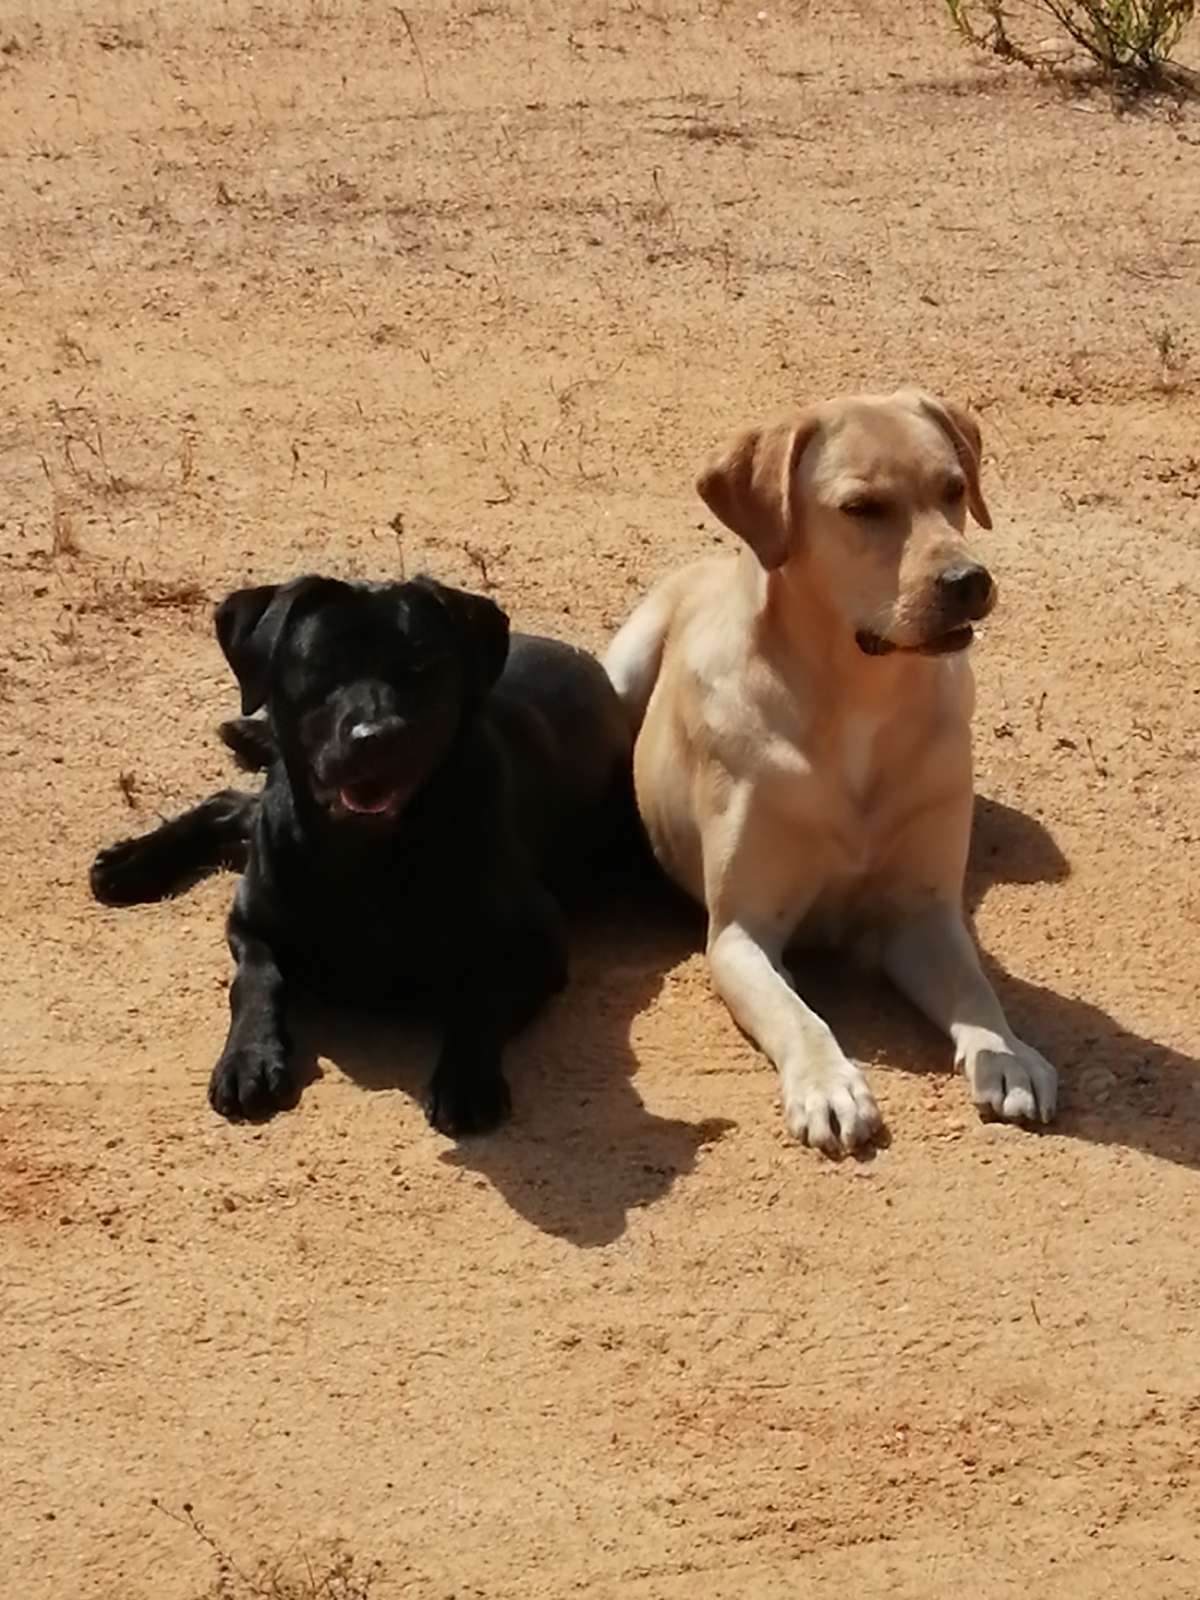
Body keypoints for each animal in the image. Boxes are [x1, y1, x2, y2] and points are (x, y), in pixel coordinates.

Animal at [90, 576, 633, 1139]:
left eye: (422, 665)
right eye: (320, 665)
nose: (377, 737)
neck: (365, 856)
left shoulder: (538, 947)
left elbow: (479, 999)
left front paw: (465, 1079)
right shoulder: (250, 922)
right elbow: (258, 980)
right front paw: (249, 1057)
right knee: (231, 803)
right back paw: (132, 863)